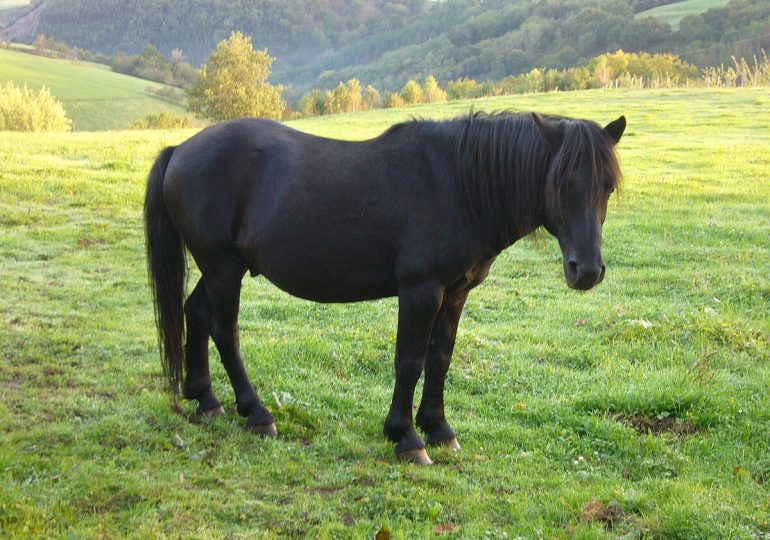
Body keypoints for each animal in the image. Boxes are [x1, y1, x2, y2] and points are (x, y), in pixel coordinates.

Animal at [144, 111, 625, 465]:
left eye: (607, 185)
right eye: (560, 182)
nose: (586, 270)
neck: (457, 184)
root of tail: (180, 149)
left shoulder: (455, 292)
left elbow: (440, 358)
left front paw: (439, 428)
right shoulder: (420, 291)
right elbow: (409, 361)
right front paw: (407, 438)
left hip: (221, 268)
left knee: (196, 314)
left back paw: (206, 399)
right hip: (224, 267)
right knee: (225, 331)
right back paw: (256, 413)